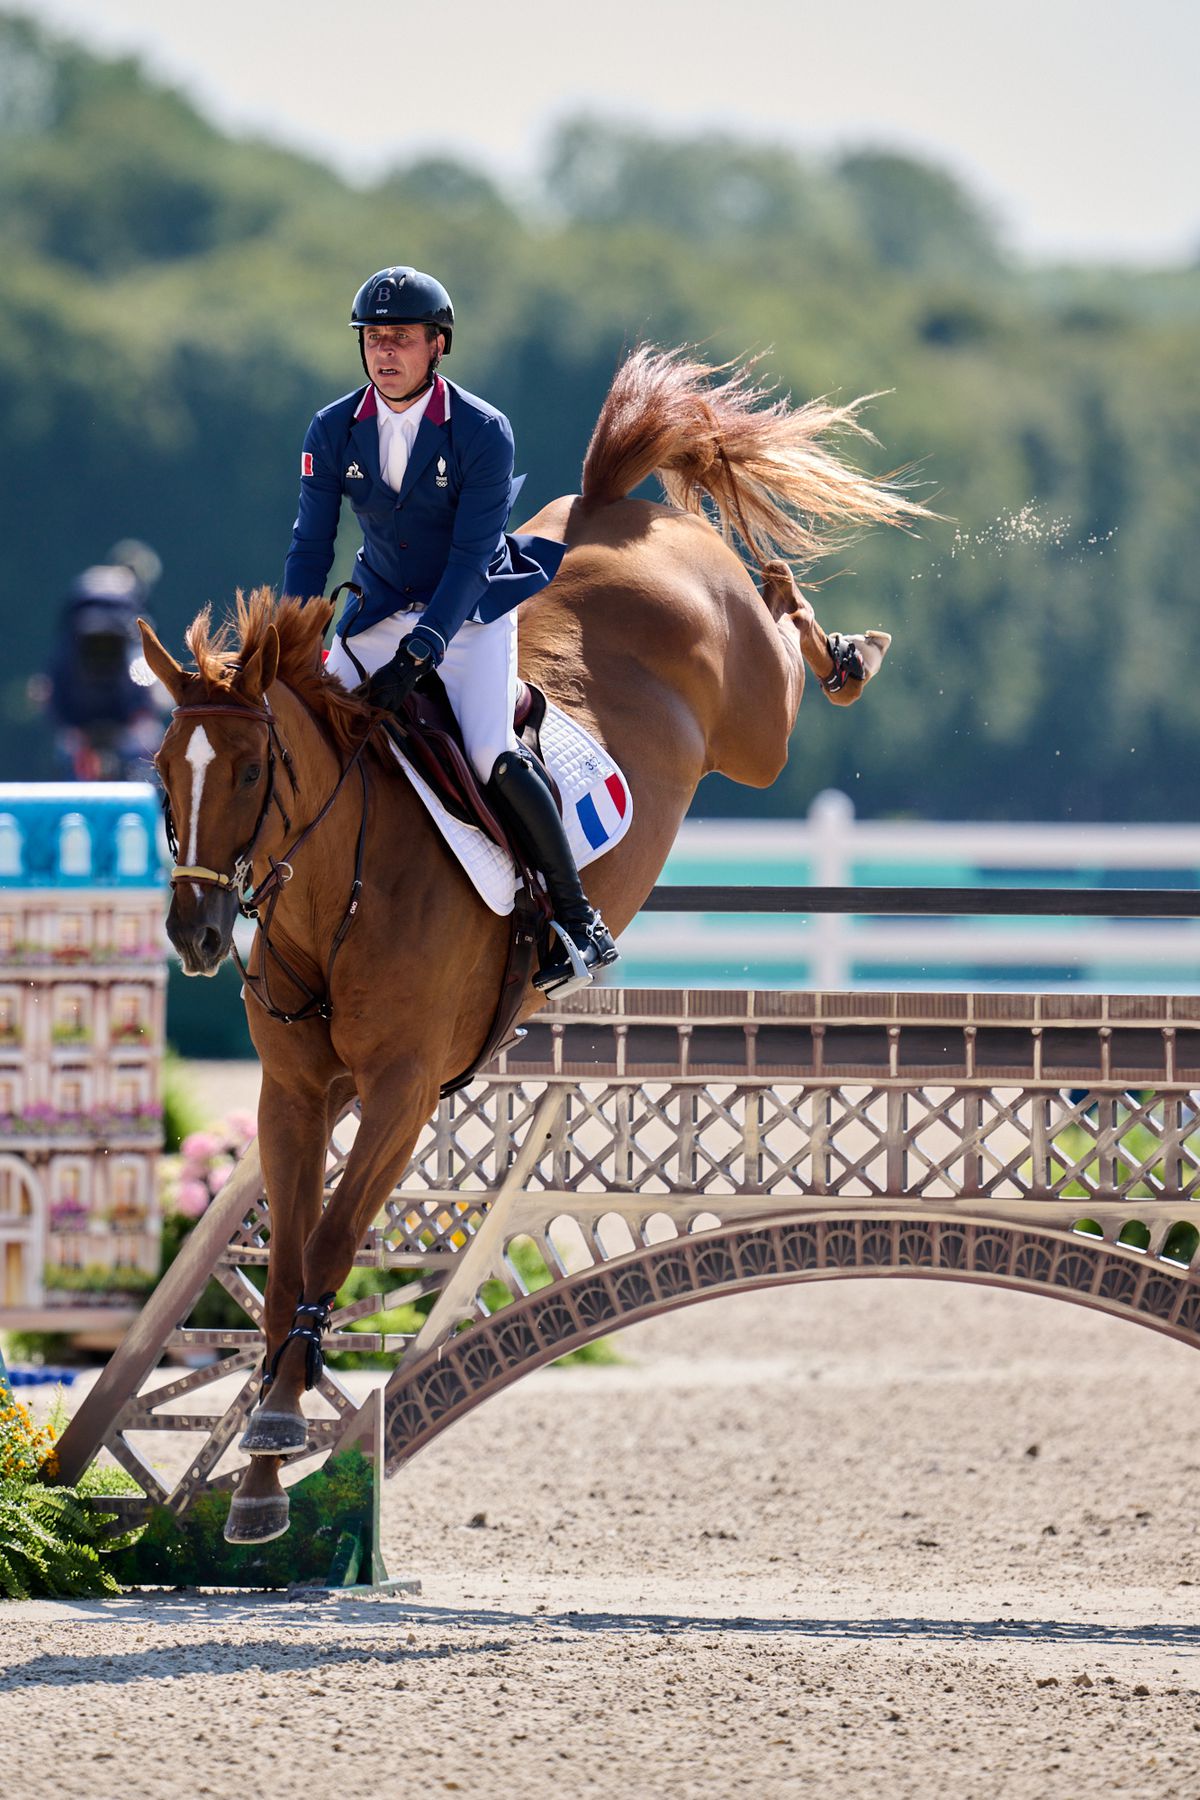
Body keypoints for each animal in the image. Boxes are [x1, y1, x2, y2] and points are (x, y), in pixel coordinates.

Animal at [138, 343, 928, 1540]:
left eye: (252, 769)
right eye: (159, 770)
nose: (193, 933)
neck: (337, 896)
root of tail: (605, 513)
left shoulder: (404, 1090)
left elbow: (330, 1246)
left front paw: (273, 1432)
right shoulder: (293, 1092)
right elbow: (280, 1271)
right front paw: (265, 1483)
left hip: (756, 730)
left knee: (784, 644)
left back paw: (848, 647)